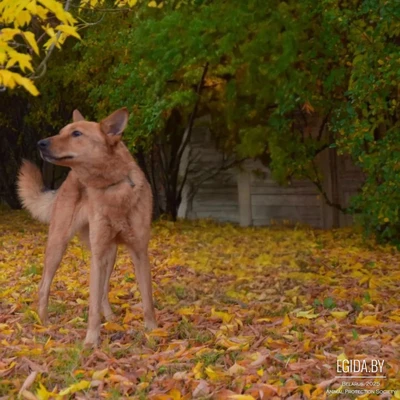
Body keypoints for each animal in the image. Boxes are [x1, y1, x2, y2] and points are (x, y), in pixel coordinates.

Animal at [17, 108, 157, 346]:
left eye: (76, 134)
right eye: (62, 131)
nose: (40, 143)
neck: (113, 187)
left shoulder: (139, 252)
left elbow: (147, 297)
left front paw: (153, 330)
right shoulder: (98, 255)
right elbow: (92, 306)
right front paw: (91, 340)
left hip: (109, 254)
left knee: (103, 293)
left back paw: (110, 317)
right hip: (58, 247)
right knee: (44, 286)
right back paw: (43, 322)